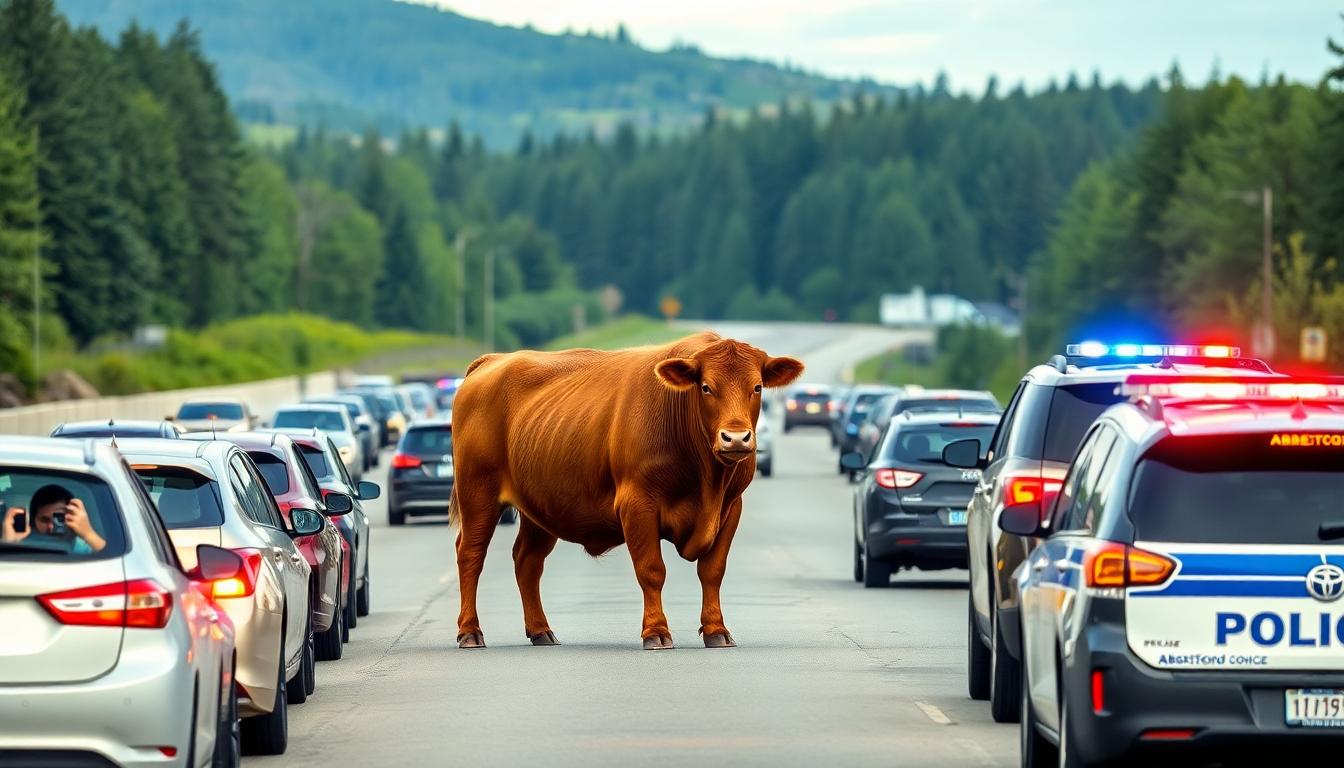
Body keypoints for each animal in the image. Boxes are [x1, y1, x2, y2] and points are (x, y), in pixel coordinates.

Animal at [448, 330, 804, 650]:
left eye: (757, 387)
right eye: (706, 387)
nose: (736, 438)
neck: (708, 480)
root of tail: (494, 360)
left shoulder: (730, 507)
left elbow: (712, 571)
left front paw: (717, 630)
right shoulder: (638, 504)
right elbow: (651, 570)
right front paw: (656, 633)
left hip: (540, 507)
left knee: (527, 560)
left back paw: (541, 631)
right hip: (477, 491)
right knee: (470, 554)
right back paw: (470, 632)